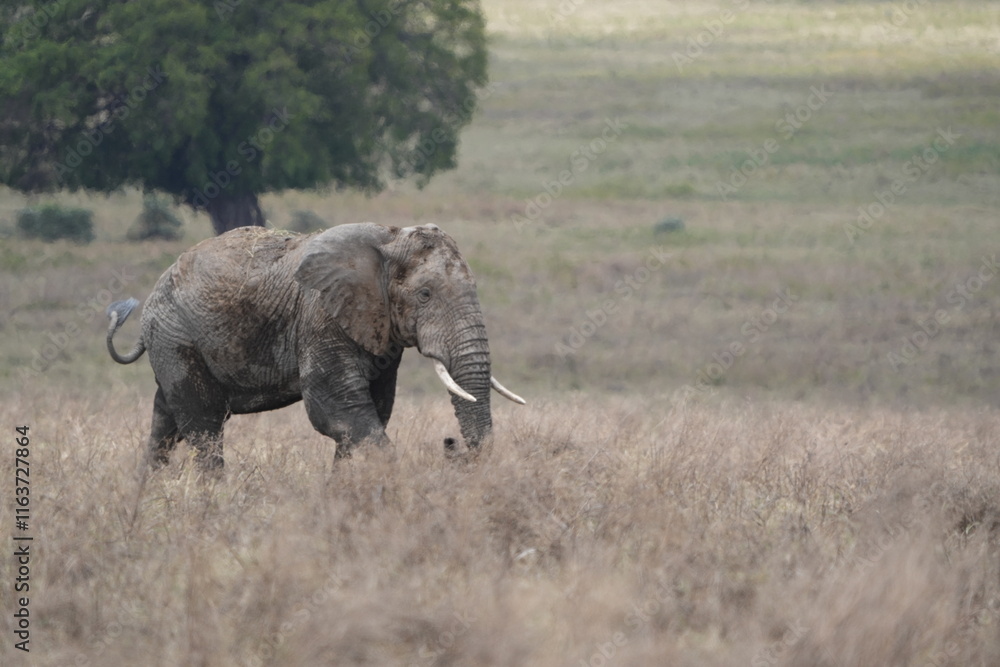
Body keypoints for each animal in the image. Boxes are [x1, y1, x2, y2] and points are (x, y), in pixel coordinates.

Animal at [106, 223, 524, 470]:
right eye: (424, 295)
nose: (450, 442)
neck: (388, 238)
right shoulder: (321, 317)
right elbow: (336, 409)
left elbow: (373, 410)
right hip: (176, 338)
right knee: (204, 426)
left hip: (170, 343)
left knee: (166, 422)